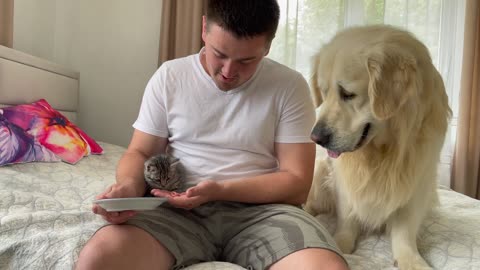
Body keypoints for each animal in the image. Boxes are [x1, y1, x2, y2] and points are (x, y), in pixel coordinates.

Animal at [306, 24, 452, 268]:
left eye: (348, 94)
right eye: (324, 93)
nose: (315, 138)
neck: (383, 149)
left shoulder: (418, 180)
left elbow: (405, 228)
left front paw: (410, 259)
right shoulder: (345, 179)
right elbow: (348, 216)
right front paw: (342, 243)